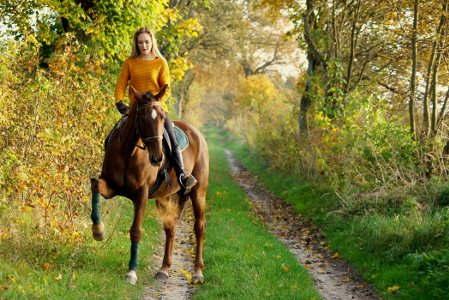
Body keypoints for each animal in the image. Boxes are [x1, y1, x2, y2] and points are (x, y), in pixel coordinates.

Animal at [91, 85, 210, 284]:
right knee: (170, 228)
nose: (158, 158)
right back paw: (164, 269)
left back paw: (198, 273)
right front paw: (98, 231)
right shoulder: (110, 186)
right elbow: (95, 186)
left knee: (199, 227)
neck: (129, 152)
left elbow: (136, 231)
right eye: (142, 119)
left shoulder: (141, 194)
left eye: (162, 117)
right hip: (167, 197)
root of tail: (196, 133)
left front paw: (131, 272)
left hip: (198, 193)